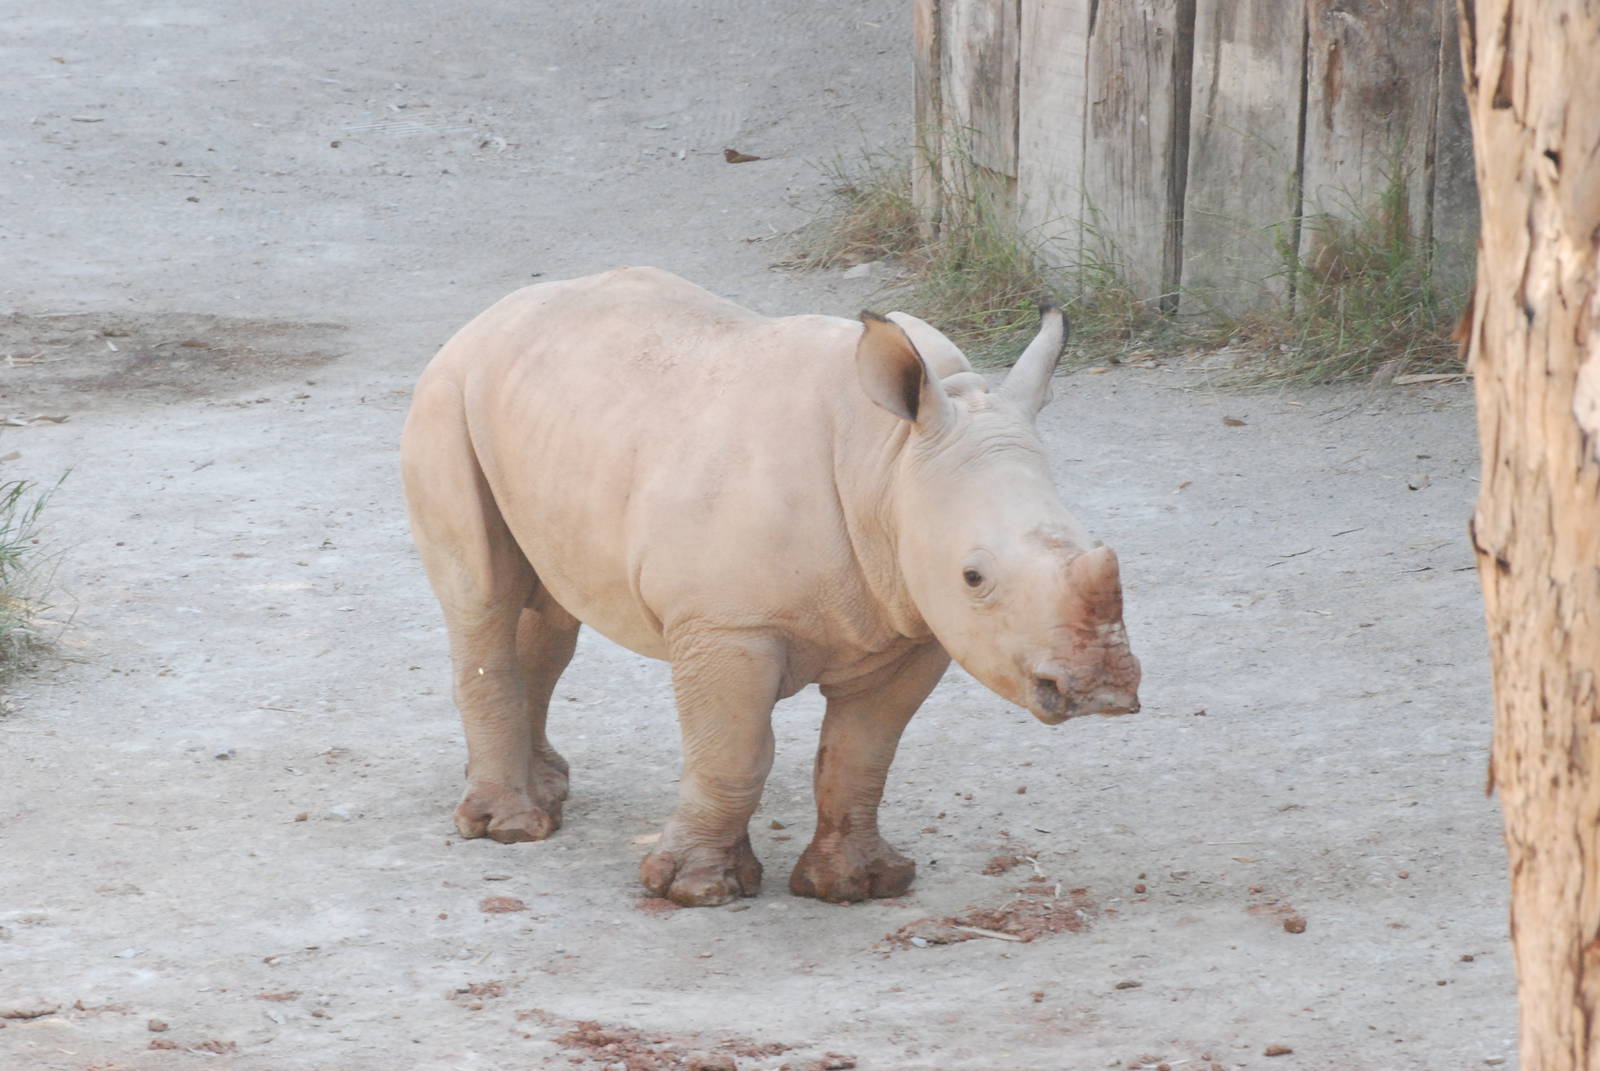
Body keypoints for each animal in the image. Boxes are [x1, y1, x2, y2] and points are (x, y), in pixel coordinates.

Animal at [401, 267, 1140, 907]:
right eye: (974, 575)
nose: (1102, 691)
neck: (891, 460)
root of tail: (492, 315)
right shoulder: (727, 625)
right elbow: (735, 754)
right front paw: (695, 890)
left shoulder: (913, 624)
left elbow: (862, 754)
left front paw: (859, 885)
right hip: (446, 395)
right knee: (483, 597)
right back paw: (511, 828)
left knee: (551, 614)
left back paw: (548, 791)